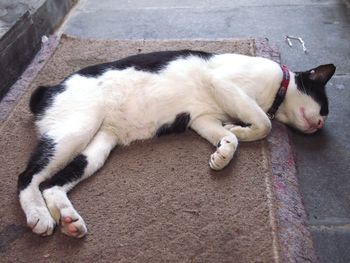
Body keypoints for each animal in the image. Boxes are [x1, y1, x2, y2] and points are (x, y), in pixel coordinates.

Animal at [17, 50, 334, 239]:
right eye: (324, 106)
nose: (319, 125)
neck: (275, 92)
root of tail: (50, 88)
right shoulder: (223, 83)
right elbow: (264, 124)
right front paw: (241, 128)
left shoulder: (202, 119)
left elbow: (228, 137)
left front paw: (224, 150)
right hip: (75, 130)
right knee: (27, 177)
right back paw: (39, 215)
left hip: (96, 149)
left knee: (52, 184)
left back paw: (67, 218)